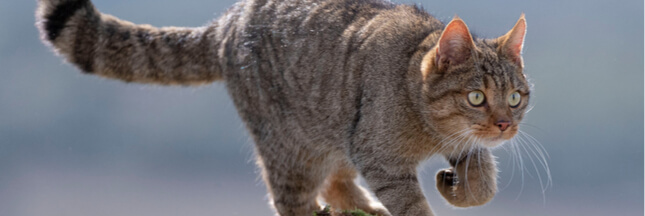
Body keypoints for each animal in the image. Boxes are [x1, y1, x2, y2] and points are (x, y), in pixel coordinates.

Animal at [34, 0, 528, 215]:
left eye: (516, 97)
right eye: (476, 97)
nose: (505, 125)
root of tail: (229, 19)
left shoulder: (459, 146)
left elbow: (484, 183)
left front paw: (458, 185)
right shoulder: (378, 154)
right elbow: (411, 204)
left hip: (329, 131)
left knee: (334, 183)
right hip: (292, 146)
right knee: (293, 200)